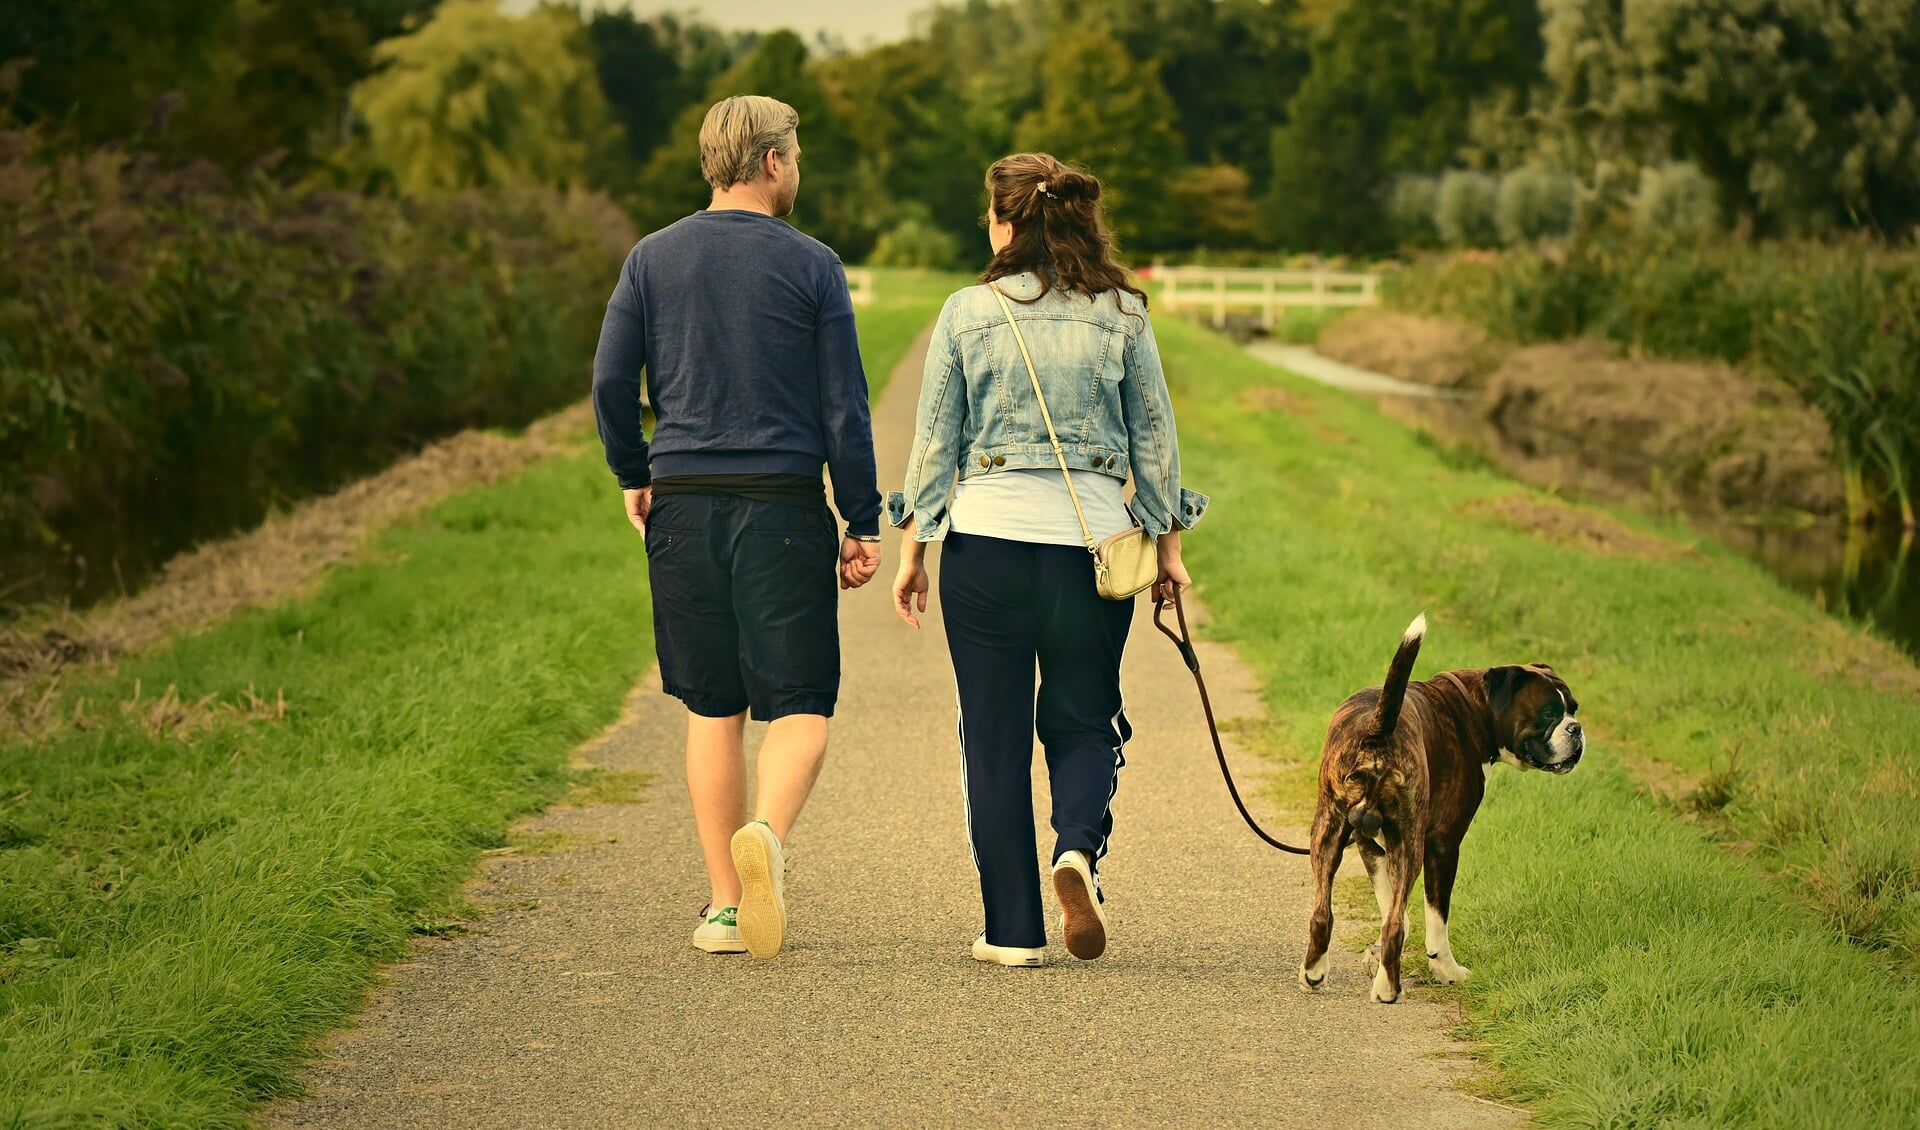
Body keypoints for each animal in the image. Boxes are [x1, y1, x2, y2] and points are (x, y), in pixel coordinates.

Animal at [1297, 617, 1582, 1005]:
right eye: (1549, 714)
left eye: (1574, 709)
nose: (1576, 729)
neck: (1474, 708)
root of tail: (1377, 730)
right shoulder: (1443, 844)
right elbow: (1433, 919)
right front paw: (1446, 970)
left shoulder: (1368, 841)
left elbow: (1392, 904)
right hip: (1410, 842)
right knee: (1393, 925)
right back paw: (1388, 990)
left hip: (1328, 832)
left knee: (1323, 913)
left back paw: (1314, 972)